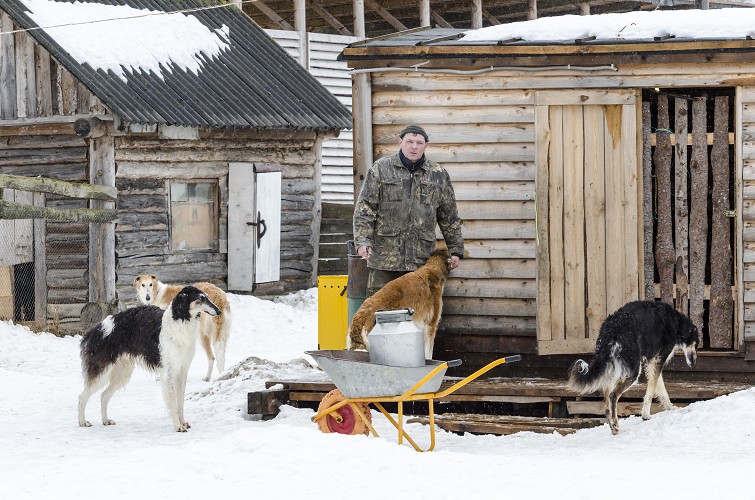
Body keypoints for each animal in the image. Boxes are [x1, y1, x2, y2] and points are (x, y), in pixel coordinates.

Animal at [78, 288, 220, 432]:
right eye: (201, 298)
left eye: (207, 297)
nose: (218, 311)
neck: (179, 322)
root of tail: (95, 330)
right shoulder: (168, 373)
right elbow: (173, 403)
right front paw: (178, 426)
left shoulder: (182, 371)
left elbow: (180, 403)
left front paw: (183, 423)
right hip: (102, 371)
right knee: (82, 397)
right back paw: (82, 422)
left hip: (122, 374)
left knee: (103, 395)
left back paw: (105, 420)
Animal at [568, 300, 700, 434]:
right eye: (696, 345)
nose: (694, 364)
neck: (676, 322)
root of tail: (611, 328)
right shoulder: (658, 359)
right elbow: (651, 391)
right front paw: (646, 415)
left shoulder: (651, 362)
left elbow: (660, 389)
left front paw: (671, 408)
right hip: (633, 371)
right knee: (612, 395)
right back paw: (616, 425)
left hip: (614, 368)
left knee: (607, 399)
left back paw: (613, 426)